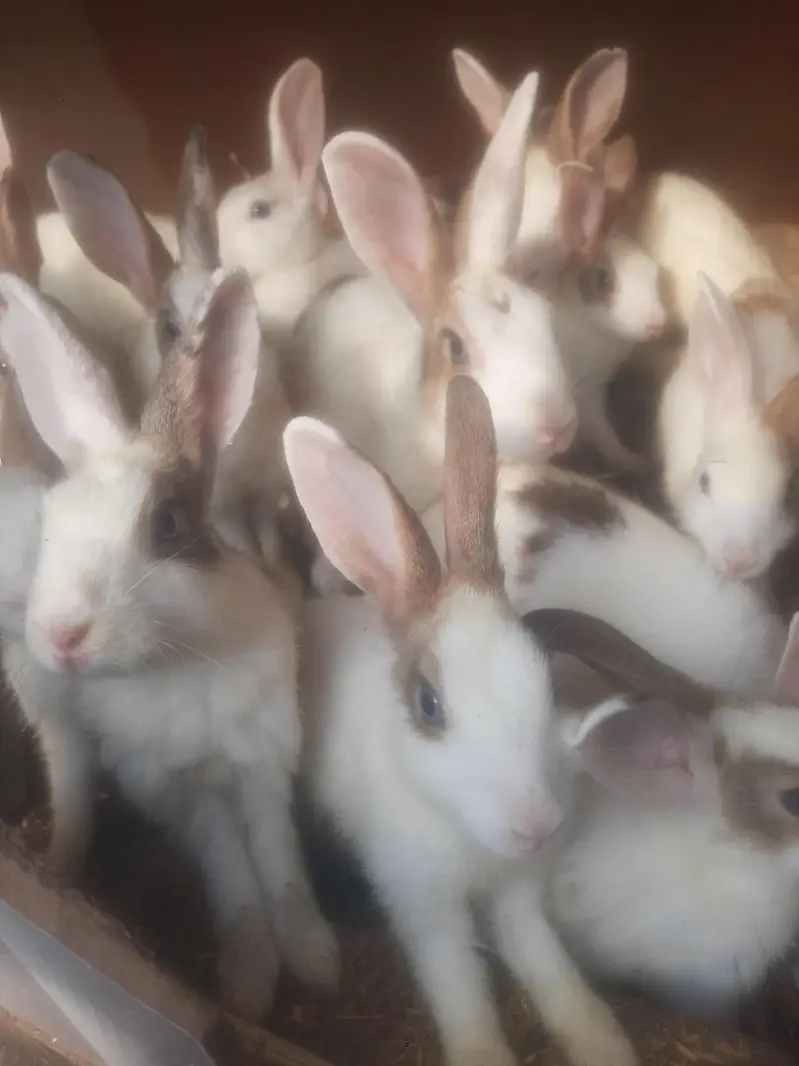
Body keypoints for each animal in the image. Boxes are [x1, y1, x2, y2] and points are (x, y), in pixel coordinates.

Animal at [0, 268, 338, 1020]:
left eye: (167, 525)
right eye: (51, 521)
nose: (63, 634)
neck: (182, 660)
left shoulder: (262, 761)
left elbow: (279, 862)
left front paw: (312, 954)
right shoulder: (181, 794)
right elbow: (233, 875)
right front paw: (250, 980)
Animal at [45, 129, 295, 563]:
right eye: (171, 328)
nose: (257, 375)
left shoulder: (268, 489)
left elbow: (270, 539)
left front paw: (279, 566)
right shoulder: (223, 508)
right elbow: (244, 544)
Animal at [286, 375, 637, 1066]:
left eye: (546, 675)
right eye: (428, 705)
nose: (537, 825)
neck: (471, 842)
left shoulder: (518, 894)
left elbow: (550, 969)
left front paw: (604, 1044)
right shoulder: (424, 905)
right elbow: (459, 990)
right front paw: (483, 1052)